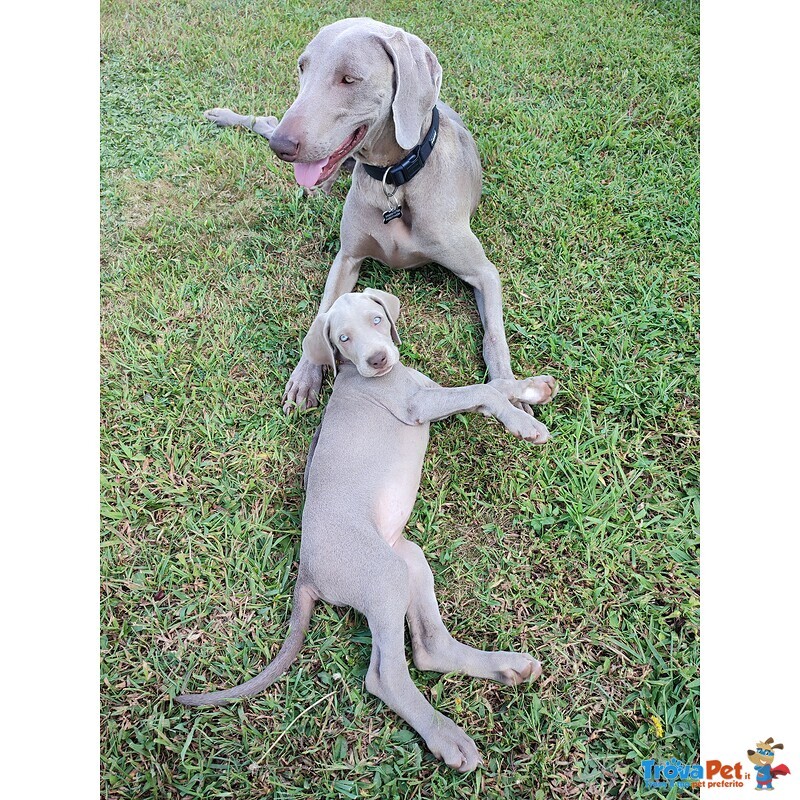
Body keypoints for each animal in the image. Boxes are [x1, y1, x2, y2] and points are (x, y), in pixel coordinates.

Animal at [178, 288, 560, 768]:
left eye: (377, 320)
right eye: (342, 338)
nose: (378, 360)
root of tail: (306, 573)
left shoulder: (430, 392)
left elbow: (488, 387)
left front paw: (534, 388)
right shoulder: (417, 404)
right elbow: (481, 390)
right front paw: (525, 423)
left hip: (406, 558)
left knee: (428, 648)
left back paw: (505, 667)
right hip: (382, 576)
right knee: (384, 676)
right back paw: (447, 737)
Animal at [206, 14, 552, 432]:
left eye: (349, 78)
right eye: (302, 68)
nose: (283, 149)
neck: (394, 180)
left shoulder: (483, 272)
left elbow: (495, 337)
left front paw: (513, 394)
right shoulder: (348, 257)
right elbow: (324, 310)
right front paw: (306, 376)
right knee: (268, 121)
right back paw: (225, 117)